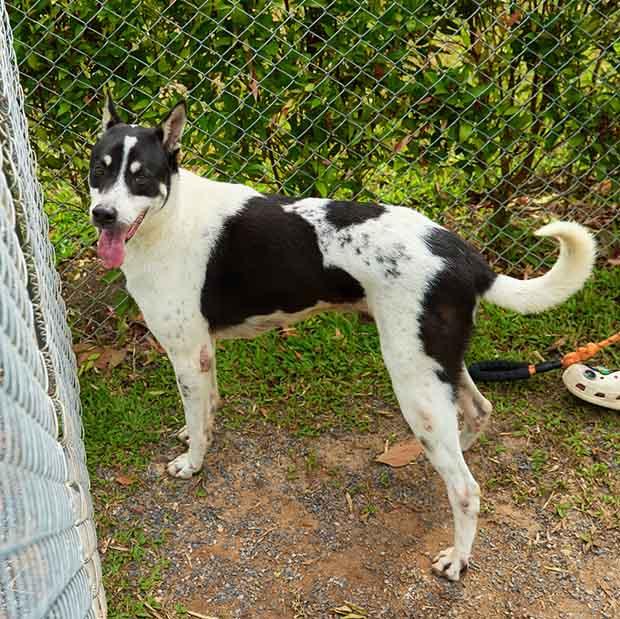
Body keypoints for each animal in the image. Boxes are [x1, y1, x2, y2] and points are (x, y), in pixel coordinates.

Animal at [88, 98, 596, 581]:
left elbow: (197, 421)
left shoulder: (187, 351)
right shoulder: (203, 352)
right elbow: (205, 408)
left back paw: (457, 559)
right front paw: (198, 431)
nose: (102, 215)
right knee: (476, 411)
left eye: (142, 176)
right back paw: (457, 451)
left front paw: (192, 462)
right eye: (100, 168)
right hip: (437, 363)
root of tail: (464, 255)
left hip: (413, 379)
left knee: (467, 489)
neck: (169, 217)